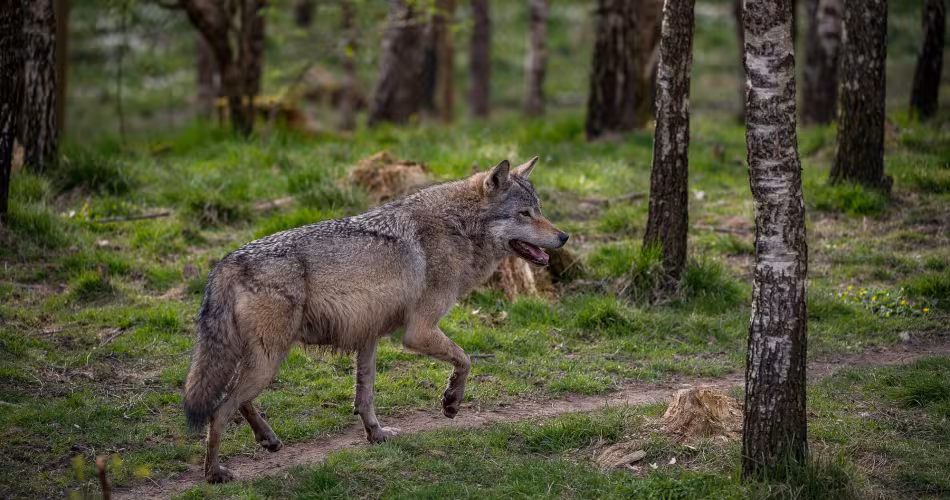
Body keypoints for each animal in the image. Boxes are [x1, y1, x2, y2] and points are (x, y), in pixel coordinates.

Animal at [183, 157, 568, 483]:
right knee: (219, 411)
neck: (457, 227)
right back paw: (215, 473)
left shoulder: (369, 337)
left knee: (236, 400)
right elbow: (466, 360)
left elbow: (365, 397)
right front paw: (451, 403)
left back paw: (268, 440)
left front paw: (377, 434)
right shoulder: (418, 332)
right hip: (268, 362)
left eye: (539, 210)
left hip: (262, 361)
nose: (563, 236)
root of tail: (226, 263)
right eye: (524, 213)